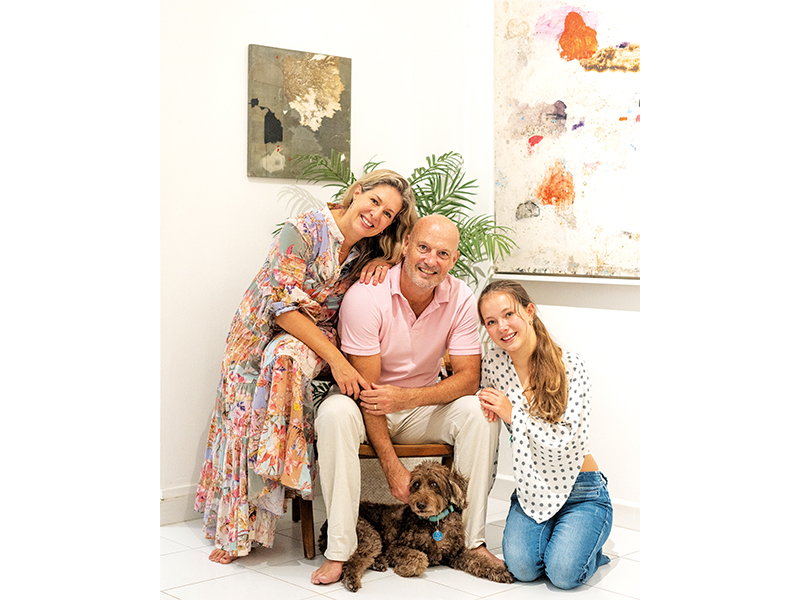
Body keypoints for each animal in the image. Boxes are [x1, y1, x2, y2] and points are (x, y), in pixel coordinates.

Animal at [318, 460, 512, 592]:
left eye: (434, 484)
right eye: (416, 485)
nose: (420, 504)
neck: (435, 522)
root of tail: (325, 524)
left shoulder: (455, 553)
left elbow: (479, 560)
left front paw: (501, 571)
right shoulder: (396, 547)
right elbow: (420, 558)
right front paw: (404, 569)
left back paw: (378, 563)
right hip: (369, 536)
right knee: (351, 561)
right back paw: (352, 579)